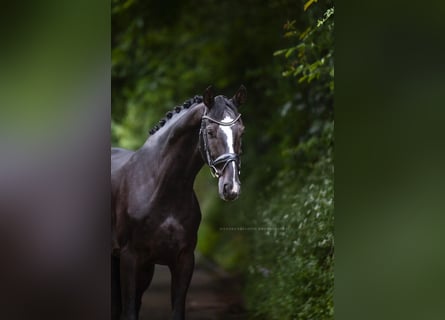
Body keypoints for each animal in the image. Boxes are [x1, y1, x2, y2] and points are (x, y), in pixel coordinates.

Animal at [109, 85, 245, 320]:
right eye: (210, 132)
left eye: (241, 131)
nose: (231, 187)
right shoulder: (129, 258)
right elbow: (129, 312)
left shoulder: (183, 260)